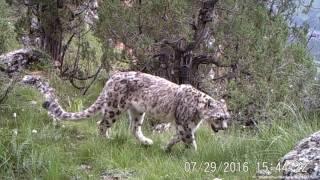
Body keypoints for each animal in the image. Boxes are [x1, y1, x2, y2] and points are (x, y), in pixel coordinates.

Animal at [21, 71, 230, 151]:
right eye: (219, 117)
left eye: (227, 117)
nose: (225, 128)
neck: (198, 116)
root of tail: (113, 77)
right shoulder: (185, 125)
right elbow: (189, 140)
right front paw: (194, 154)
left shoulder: (186, 126)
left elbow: (177, 137)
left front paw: (167, 147)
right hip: (115, 107)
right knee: (101, 123)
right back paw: (105, 139)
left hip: (137, 111)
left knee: (133, 128)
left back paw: (146, 142)